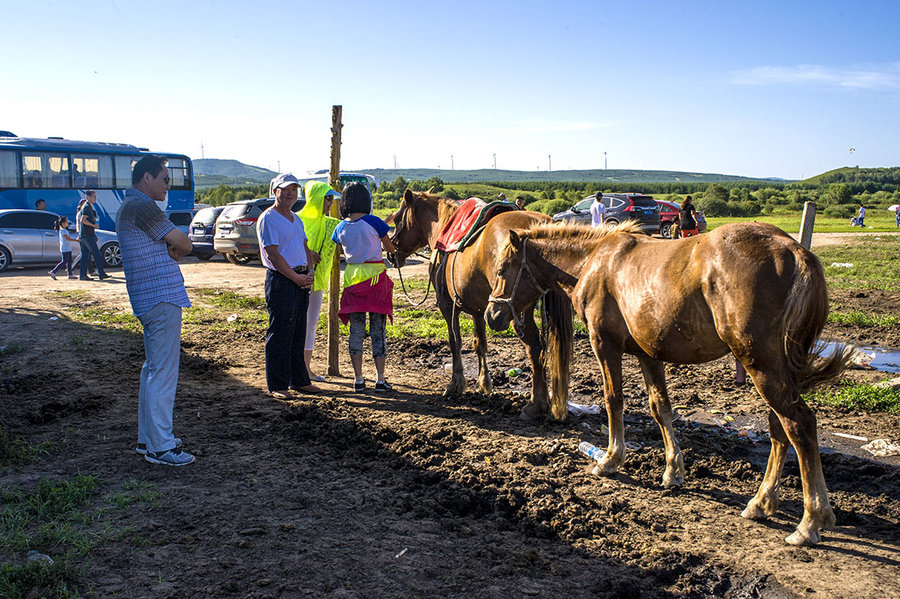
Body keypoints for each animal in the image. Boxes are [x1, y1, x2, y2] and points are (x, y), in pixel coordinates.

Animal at [390, 189, 572, 422]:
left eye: (397, 219)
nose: (391, 254)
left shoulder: (447, 306)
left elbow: (455, 341)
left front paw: (456, 383)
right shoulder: (479, 310)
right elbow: (480, 344)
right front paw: (484, 383)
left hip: (516, 309)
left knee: (534, 347)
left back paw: (536, 404)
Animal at [486, 221, 844, 548]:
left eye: (503, 269)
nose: (492, 315)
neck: (593, 261)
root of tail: (794, 250)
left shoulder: (605, 345)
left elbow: (613, 400)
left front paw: (611, 459)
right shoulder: (649, 353)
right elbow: (661, 408)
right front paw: (673, 470)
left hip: (761, 366)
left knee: (798, 425)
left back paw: (811, 520)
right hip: (774, 370)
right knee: (779, 428)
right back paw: (763, 501)